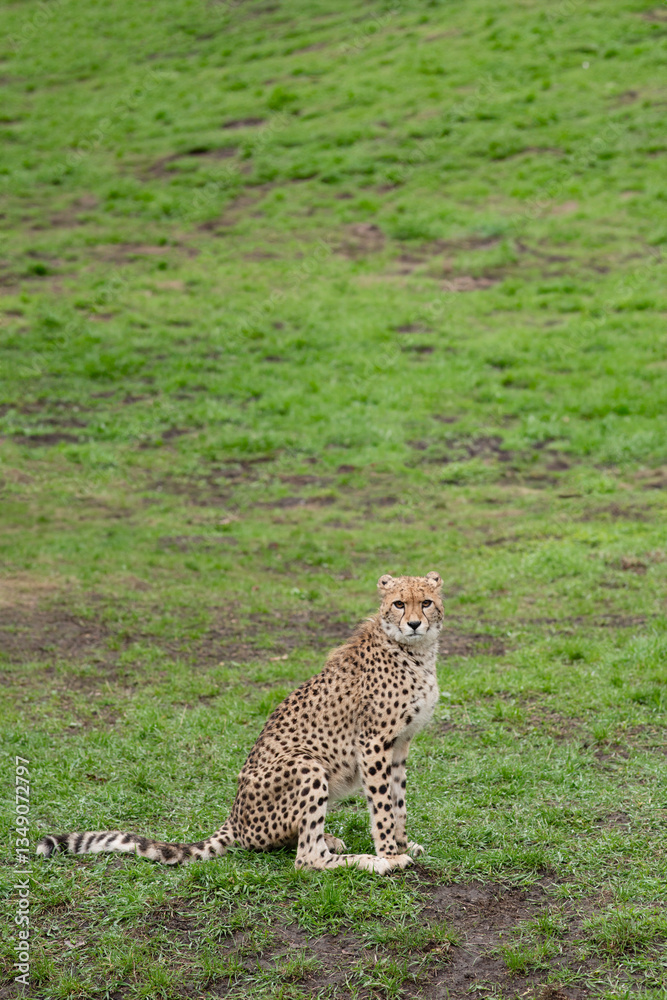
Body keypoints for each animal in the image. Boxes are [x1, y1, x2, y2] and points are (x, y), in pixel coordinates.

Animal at [37, 571, 443, 875]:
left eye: (426, 602)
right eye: (398, 603)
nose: (414, 624)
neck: (415, 652)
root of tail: (235, 817)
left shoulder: (400, 744)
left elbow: (398, 800)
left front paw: (404, 843)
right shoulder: (374, 742)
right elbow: (382, 805)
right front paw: (390, 853)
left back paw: (335, 840)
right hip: (306, 763)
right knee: (306, 859)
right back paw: (369, 862)